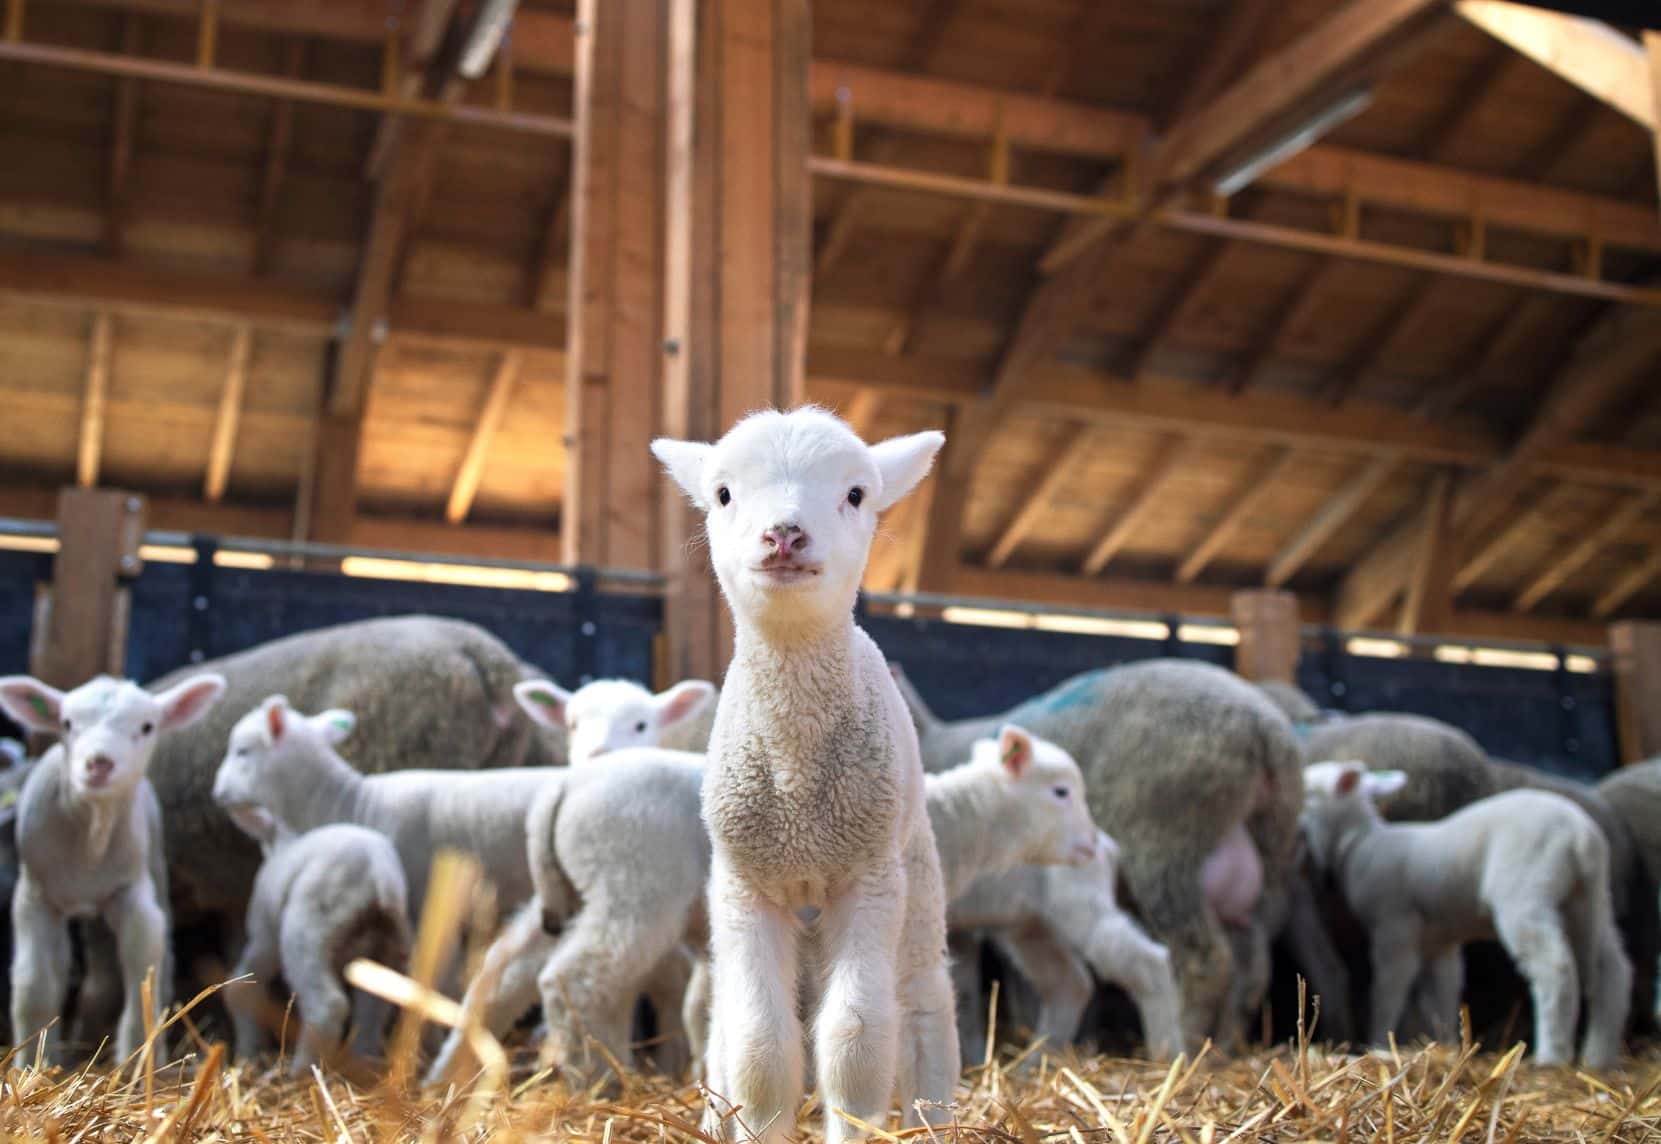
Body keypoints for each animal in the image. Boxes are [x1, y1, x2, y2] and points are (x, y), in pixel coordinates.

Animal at [0, 670, 225, 1062]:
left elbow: (143, 968)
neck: (92, 833)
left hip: (155, 867)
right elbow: (34, 984)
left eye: (147, 726)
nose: (99, 763)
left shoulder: (132, 893)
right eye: (67, 723)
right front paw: (32, 1062)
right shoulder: (34, 896)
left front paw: (138, 1058)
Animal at [222, 800, 410, 1075]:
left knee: (329, 1005)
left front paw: (248, 1050)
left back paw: (300, 1071)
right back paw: (363, 1064)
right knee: (372, 1010)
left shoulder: (264, 932)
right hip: (388, 946)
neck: (284, 841)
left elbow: (243, 985)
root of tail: (378, 873)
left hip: (306, 931)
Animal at [651, 410, 956, 1142]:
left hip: (914, 872)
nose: (784, 533)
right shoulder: (745, 887)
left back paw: (935, 1118)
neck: (796, 785)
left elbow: (855, 1041)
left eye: (855, 494)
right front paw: (754, 1123)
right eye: (723, 494)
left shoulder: (868, 878)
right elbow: (759, 1047)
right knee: (723, 1028)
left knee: (922, 1004)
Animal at [890, 660, 1302, 1056]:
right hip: (1267, 862)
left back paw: (1181, 1046)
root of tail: (1265, 728)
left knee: (1199, 961)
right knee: (1250, 970)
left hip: (1164, 855)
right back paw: (1222, 1048)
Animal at [1295, 757, 1634, 1069]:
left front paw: (1378, 1040)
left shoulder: (1395, 926)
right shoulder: (1438, 942)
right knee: (1613, 969)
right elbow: (1442, 992)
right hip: (1589, 901)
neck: (1359, 843)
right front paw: (1446, 1043)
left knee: (1555, 965)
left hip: (1526, 892)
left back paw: (1551, 1054)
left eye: (1309, 791)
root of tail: (1581, 836)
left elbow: (1389, 988)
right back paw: (1599, 1056)